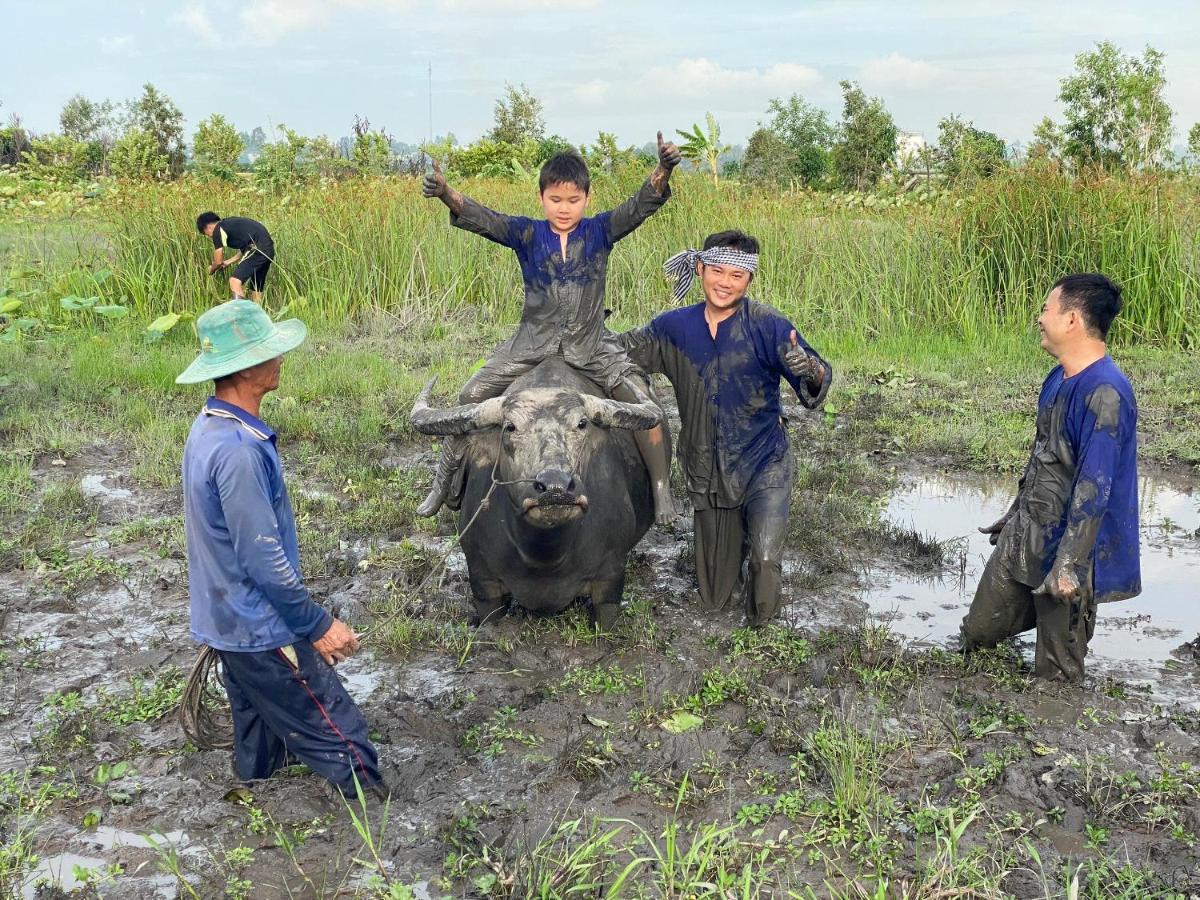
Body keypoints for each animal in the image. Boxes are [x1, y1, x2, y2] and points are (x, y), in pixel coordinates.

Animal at [410, 360, 657, 628]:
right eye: (510, 427)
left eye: (582, 424)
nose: (555, 487)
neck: (545, 555)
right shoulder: (482, 580)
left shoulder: (611, 577)